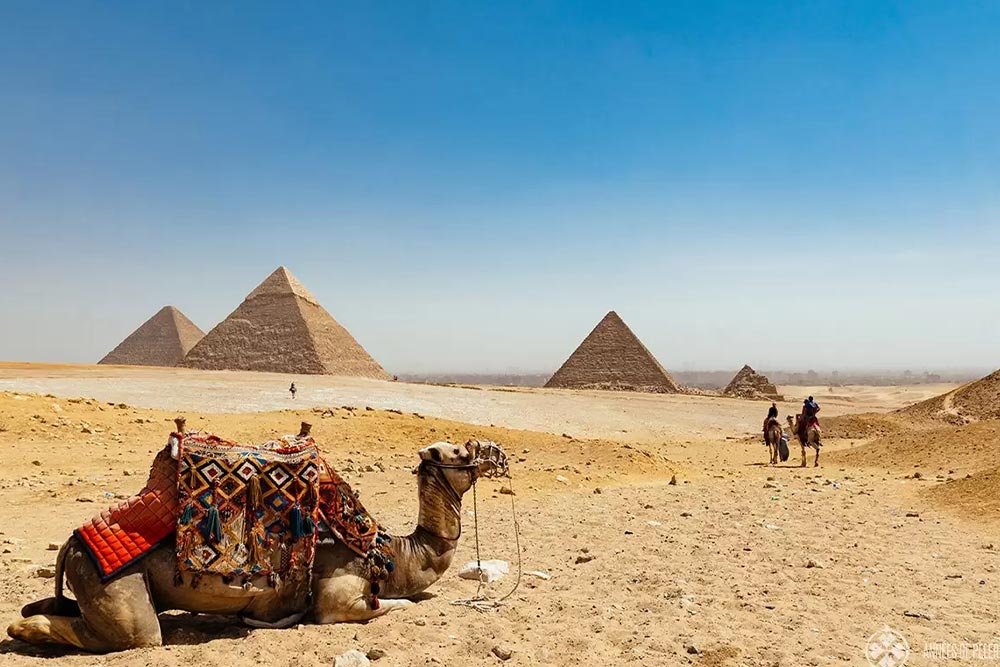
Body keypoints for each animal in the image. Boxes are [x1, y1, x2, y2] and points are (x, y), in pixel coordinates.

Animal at [5, 440, 494, 656]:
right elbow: (386, 607)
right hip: (118, 589)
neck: (388, 551)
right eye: (456, 452)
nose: (489, 452)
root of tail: (72, 543)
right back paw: (23, 631)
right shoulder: (338, 589)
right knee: (135, 636)